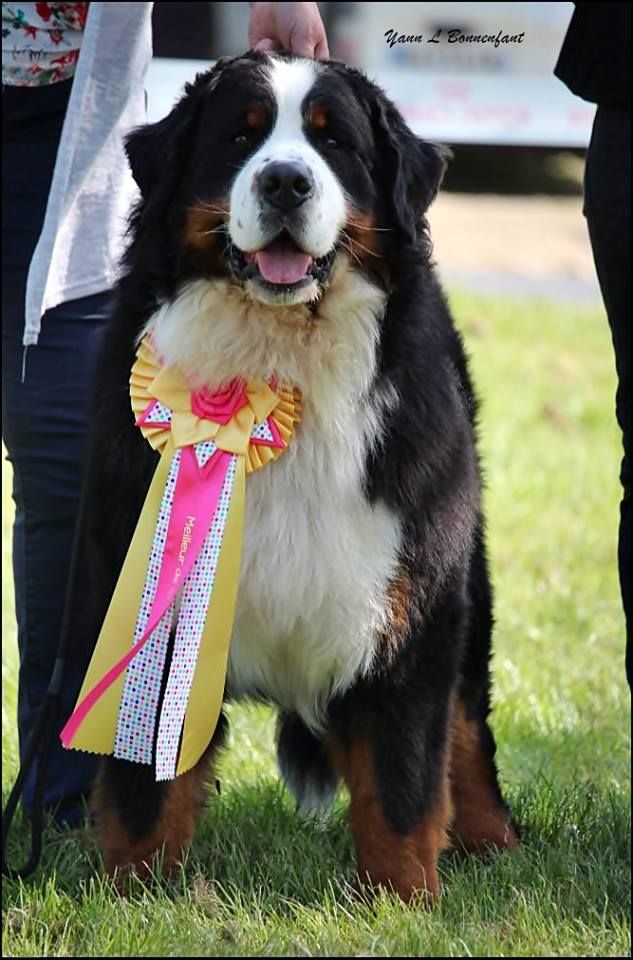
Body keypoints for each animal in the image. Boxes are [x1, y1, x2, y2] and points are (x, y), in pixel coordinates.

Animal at [81, 48, 520, 904]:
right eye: (240, 136)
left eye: (334, 141)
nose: (285, 180)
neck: (276, 365)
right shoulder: (145, 586)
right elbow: (145, 782)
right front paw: (132, 894)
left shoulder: (407, 599)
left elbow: (402, 777)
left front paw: (400, 901)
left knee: (464, 725)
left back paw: (492, 842)